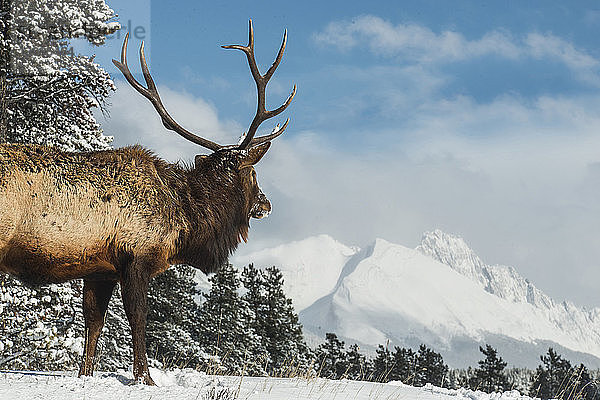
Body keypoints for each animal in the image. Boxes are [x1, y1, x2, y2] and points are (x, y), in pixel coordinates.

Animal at [0, 21, 292, 384]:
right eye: (252, 174)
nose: (266, 203)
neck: (185, 219)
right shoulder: (135, 257)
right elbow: (138, 319)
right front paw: (145, 376)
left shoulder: (100, 269)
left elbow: (93, 322)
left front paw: (86, 374)